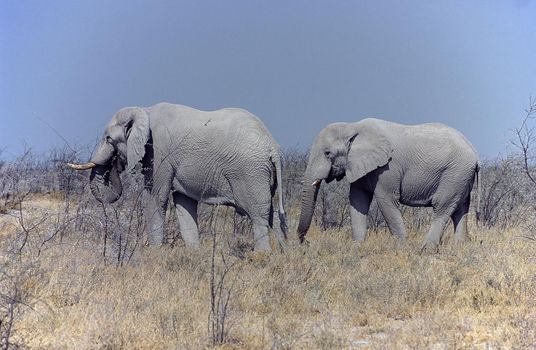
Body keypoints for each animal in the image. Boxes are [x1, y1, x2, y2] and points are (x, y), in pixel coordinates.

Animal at [69, 102, 292, 252]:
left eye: (109, 139)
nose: (115, 163)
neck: (144, 111)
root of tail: (272, 146)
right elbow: (184, 204)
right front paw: (194, 254)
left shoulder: (160, 153)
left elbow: (155, 198)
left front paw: (154, 254)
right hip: (262, 174)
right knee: (270, 214)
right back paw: (284, 255)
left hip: (249, 172)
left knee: (258, 215)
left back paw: (262, 256)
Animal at [298, 118, 482, 252]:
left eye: (327, 153)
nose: (306, 243)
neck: (352, 126)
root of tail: (475, 152)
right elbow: (358, 200)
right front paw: (356, 248)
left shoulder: (388, 168)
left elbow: (386, 201)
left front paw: (400, 248)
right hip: (460, 177)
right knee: (460, 209)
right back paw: (459, 248)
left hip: (454, 173)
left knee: (442, 207)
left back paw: (426, 250)